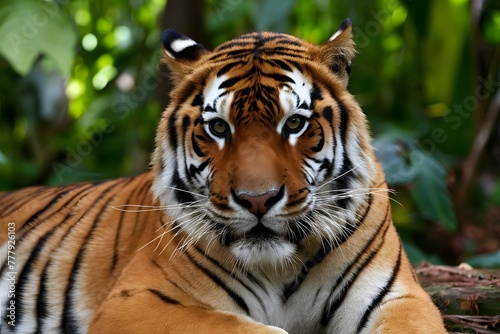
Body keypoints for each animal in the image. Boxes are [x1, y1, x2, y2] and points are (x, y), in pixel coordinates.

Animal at [0, 20, 448, 334]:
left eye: (295, 123)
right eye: (218, 128)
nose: (257, 200)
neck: (279, 269)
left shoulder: (399, 298)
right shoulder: (135, 302)